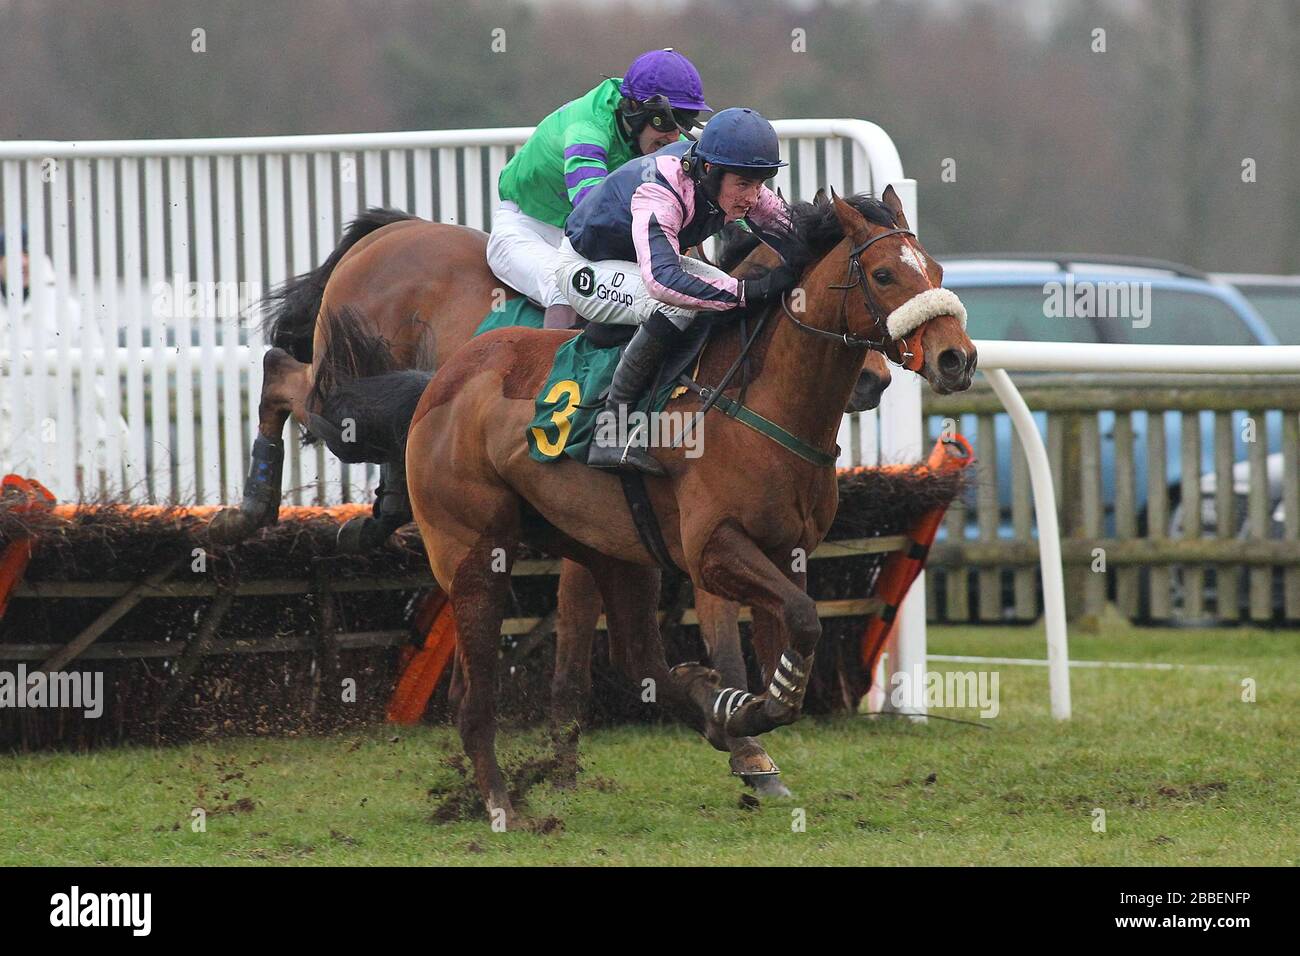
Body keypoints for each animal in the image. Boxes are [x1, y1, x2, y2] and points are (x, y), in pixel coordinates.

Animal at [306, 187, 977, 822]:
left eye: (937, 269)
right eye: (884, 275)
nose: (957, 358)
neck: (759, 402)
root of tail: (442, 380)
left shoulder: (784, 551)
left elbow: (788, 639)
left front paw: (749, 718)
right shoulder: (712, 549)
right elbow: (791, 625)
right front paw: (749, 731)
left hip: (614, 552)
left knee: (639, 660)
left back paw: (702, 709)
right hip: (474, 554)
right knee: (474, 697)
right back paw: (501, 807)